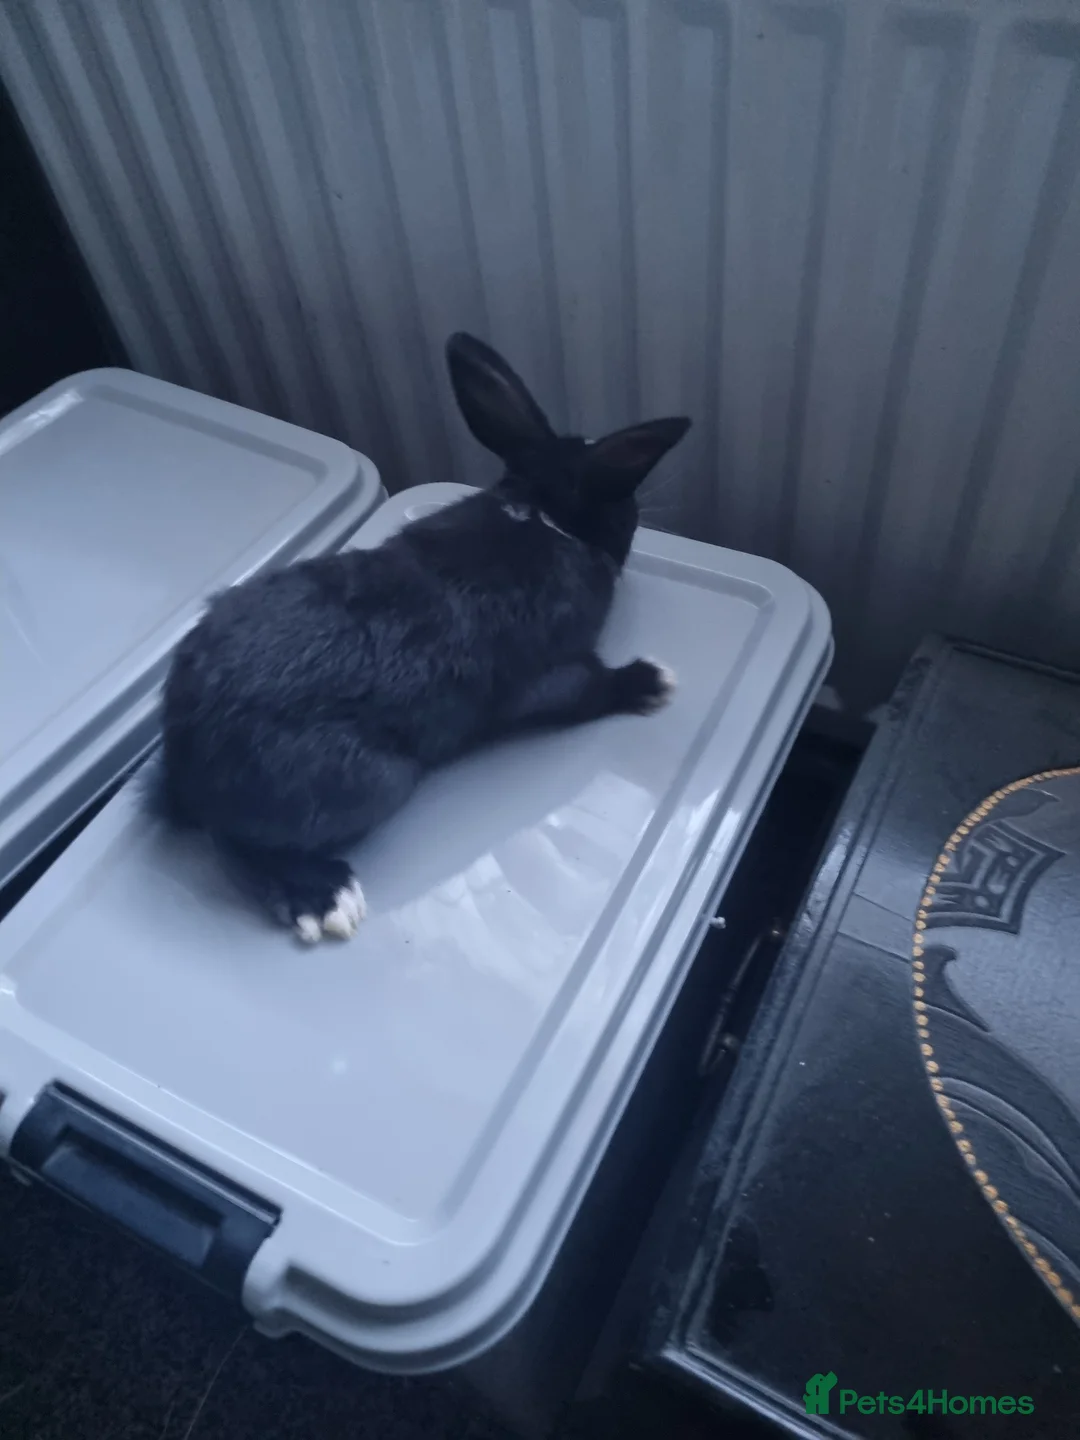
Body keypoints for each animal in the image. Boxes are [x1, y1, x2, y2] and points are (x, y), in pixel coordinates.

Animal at [156, 333, 691, 942]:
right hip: (376, 779)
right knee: (237, 844)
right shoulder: (550, 675)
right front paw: (654, 682)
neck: (540, 512)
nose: (638, 517)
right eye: (625, 508)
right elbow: (589, 690)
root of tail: (186, 762)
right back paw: (325, 898)